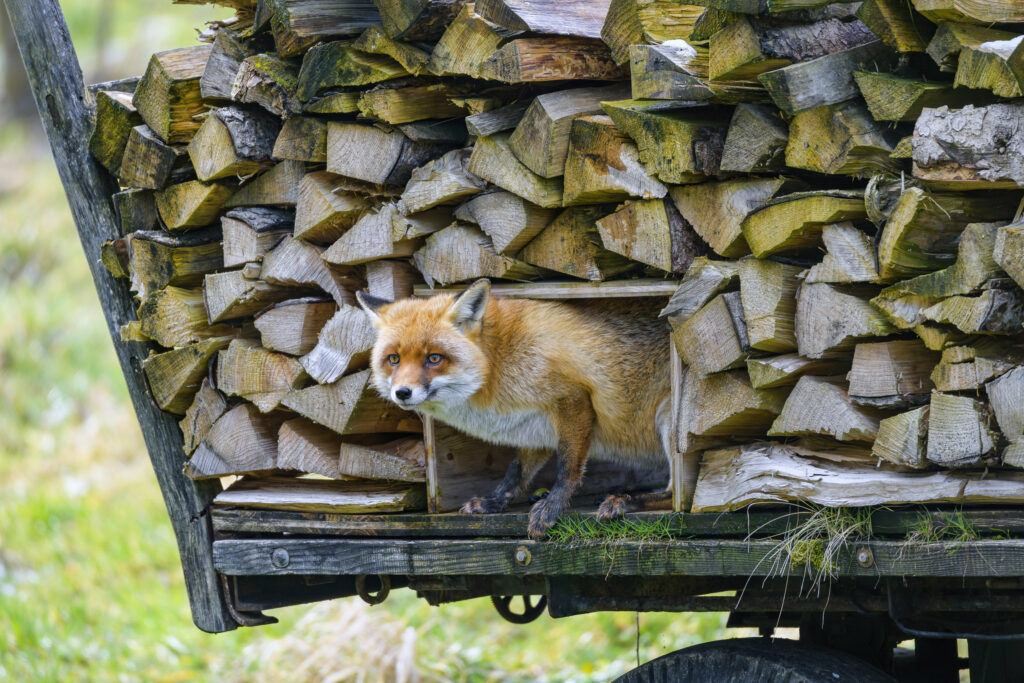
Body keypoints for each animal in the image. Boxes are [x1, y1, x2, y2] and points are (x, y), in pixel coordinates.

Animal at [355, 279, 673, 539]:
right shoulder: (536, 426)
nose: (402, 392)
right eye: (394, 359)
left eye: (434, 358)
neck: (499, 363)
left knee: (675, 495)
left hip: (668, 420)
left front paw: (551, 507)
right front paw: (494, 502)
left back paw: (628, 499)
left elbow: (567, 468)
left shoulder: (573, 398)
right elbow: (516, 472)